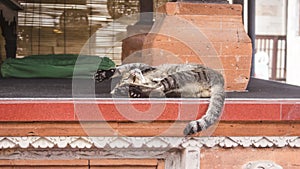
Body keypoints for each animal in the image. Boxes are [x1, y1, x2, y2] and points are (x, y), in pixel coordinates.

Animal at [95, 62, 224, 135]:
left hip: (179, 77)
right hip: (179, 84)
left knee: (158, 88)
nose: (135, 73)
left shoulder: (143, 66)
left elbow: (123, 67)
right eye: (133, 77)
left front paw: (105, 73)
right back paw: (136, 91)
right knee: (159, 90)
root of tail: (218, 78)